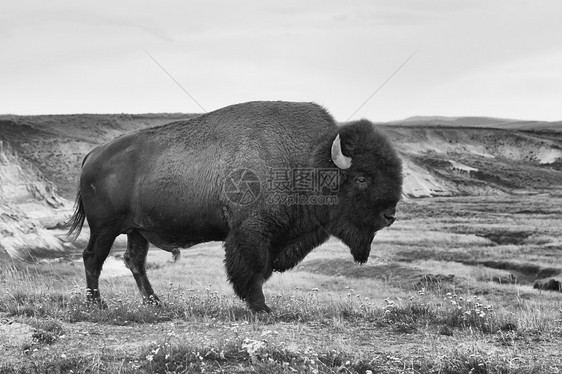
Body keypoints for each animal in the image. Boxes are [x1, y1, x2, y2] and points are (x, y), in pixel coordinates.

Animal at [66, 100, 402, 312]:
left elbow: (261, 269)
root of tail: (93, 154)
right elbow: (252, 269)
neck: (309, 161)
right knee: (93, 258)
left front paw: (259, 305)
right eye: (361, 177)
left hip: (137, 230)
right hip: (105, 228)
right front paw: (261, 307)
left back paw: (155, 303)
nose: (390, 215)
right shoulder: (250, 232)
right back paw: (97, 304)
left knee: (134, 261)